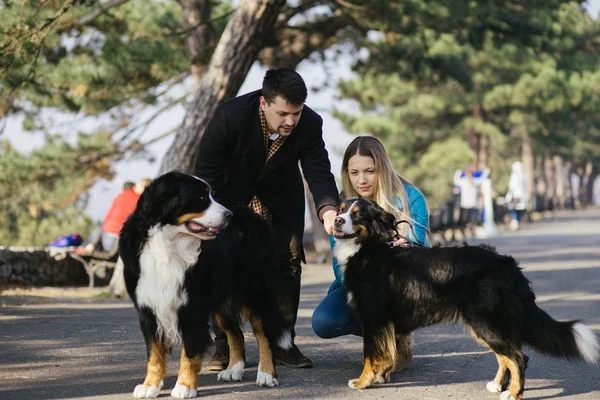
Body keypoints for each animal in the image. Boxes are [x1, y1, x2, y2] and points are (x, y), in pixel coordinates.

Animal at [118, 173, 292, 400]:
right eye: (201, 198)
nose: (228, 215)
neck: (166, 245)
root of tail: (256, 218)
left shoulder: (192, 308)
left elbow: (189, 353)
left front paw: (184, 386)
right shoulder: (148, 308)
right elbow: (154, 353)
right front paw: (150, 386)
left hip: (255, 294)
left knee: (264, 335)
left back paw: (266, 375)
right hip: (221, 301)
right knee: (235, 334)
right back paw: (233, 370)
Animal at [330, 198, 596, 400]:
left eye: (357, 215)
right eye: (340, 209)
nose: (337, 220)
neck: (367, 247)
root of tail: (507, 266)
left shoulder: (372, 317)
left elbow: (369, 353)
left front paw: (363, 381)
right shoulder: (384, 322)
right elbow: (385, 351)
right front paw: (381, 375)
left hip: (485, 321)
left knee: (518, 357)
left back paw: (513, 393)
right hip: (485, 324)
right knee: (505, 356)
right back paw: (498, 385)